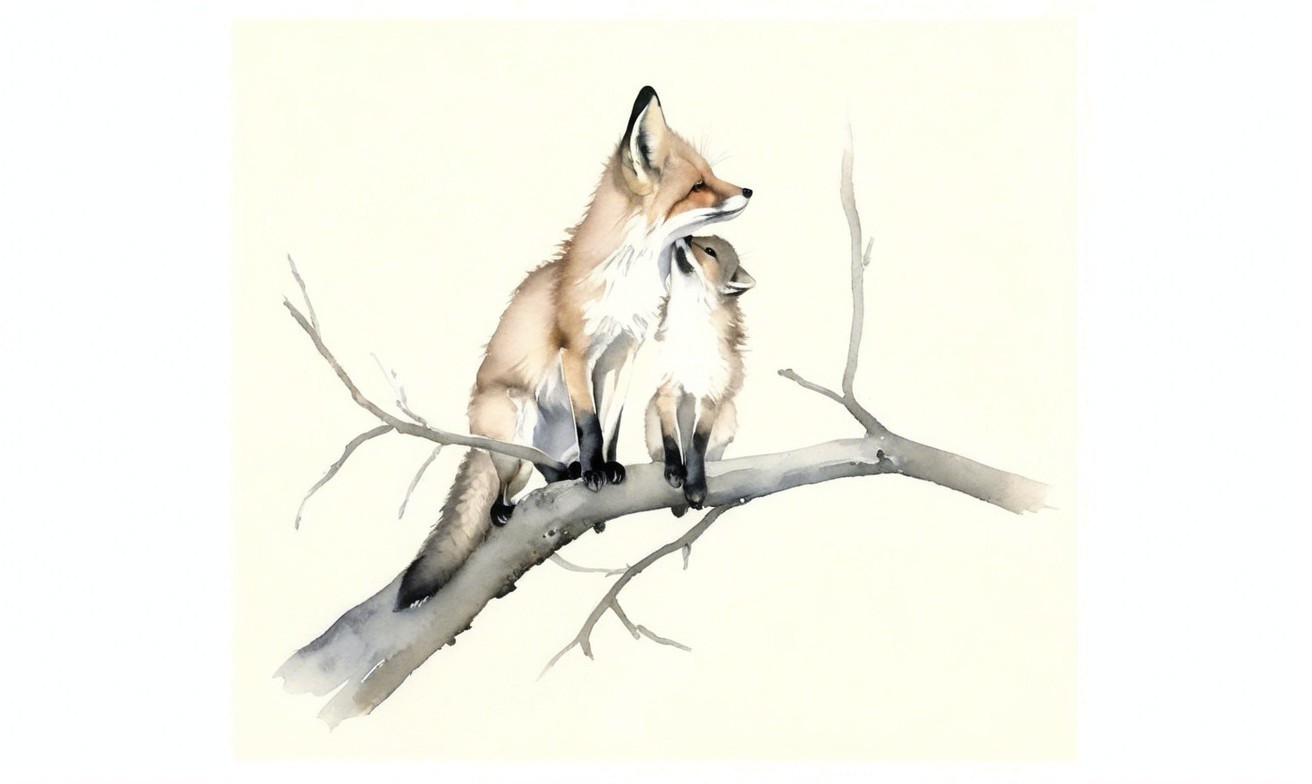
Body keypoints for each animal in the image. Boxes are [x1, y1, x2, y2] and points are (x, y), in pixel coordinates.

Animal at [645, 235, 754, 513]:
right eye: (699, 238)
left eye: (709, 251)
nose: (686, 236)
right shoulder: (668, 391)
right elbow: (672, 440)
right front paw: (674, 471)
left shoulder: (709, 396)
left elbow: (696, 444)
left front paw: (695, 487)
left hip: (729, 413)